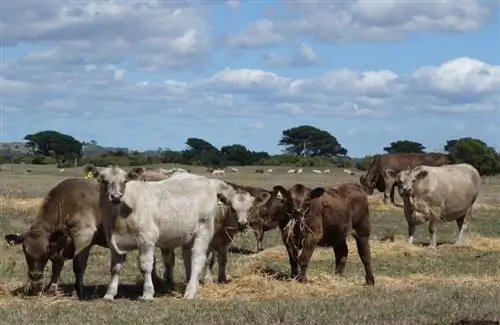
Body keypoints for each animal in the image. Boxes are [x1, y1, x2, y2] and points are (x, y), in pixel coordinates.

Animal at [93, 166, 258, 300]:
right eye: (103, 181)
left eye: (125, 181)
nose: (116, 196)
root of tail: (207, 181)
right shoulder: (113, 242)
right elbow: (115, 268)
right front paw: (109, 294)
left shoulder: (147, 239)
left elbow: (146, 266)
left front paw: (147, 293)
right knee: (188, 258)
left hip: (204, 231)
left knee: (198, 259)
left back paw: (190, 291)